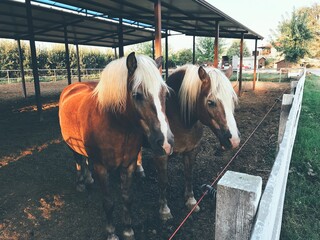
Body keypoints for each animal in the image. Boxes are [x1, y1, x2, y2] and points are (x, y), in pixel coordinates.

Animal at [58, 52, 172, 240]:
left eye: (164, 93)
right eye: (137, 94)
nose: (166, 142)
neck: (115, 125)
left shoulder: (129, 165)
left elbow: (127, 198)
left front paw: (128, 230)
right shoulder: (101, 167)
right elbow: (108, 202)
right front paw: (112, 233)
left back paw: (88, 178)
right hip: (71, 145)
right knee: (78, 161)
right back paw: (81, 183)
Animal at [138, 64, 240, 218]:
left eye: (232, 100)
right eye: (211, 102)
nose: (234, 140)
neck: (179, 119)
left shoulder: (191, 150)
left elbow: (189, 174)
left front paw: (191, 201)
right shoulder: (161, 156)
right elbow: (163, 181)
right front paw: (164, 210)